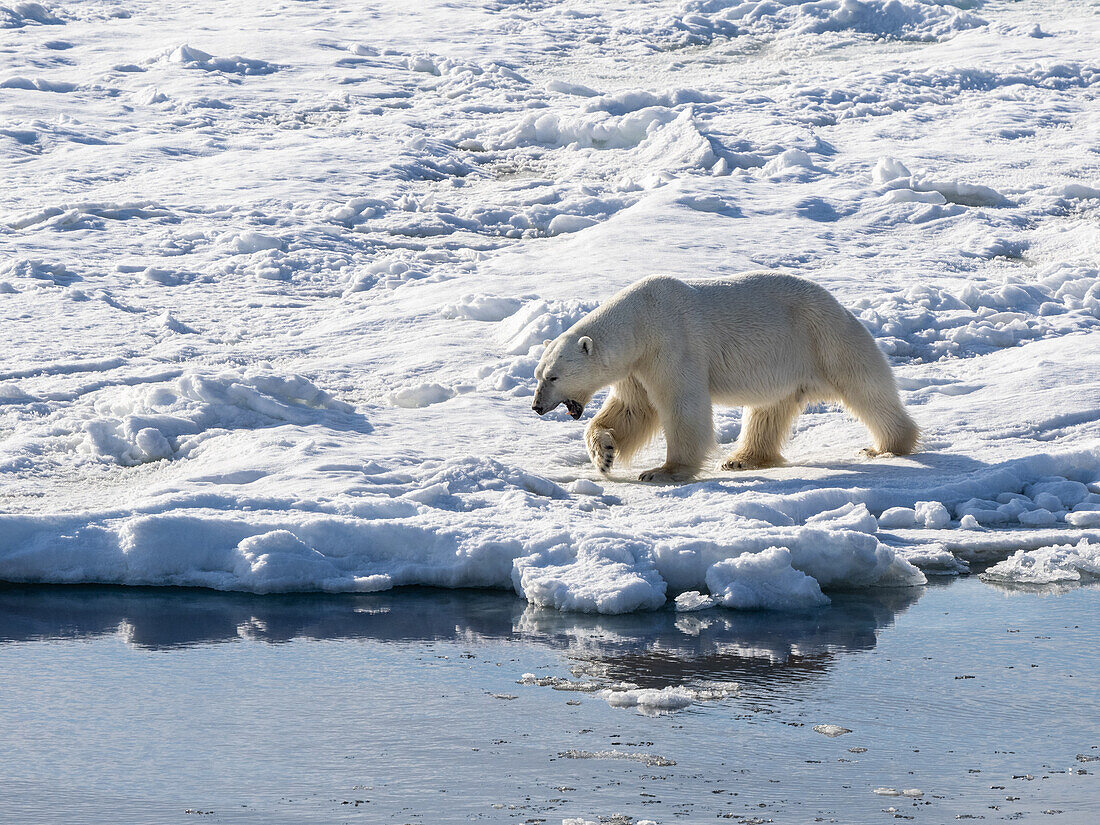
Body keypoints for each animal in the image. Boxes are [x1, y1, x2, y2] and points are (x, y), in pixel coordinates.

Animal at [532, 272, 919, 484]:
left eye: (553, 376)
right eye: (538, 374)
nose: (536, 406)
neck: (640, 320)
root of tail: (838, 303)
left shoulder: (671, 345)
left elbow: (681, 406)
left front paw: (661, 471)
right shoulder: (636, 367)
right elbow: (631, 409)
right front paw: (604, 454)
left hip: (823, 338)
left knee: (865, 388)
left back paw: (886, 446)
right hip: (782, 362)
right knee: (768, 410)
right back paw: (741, 459)